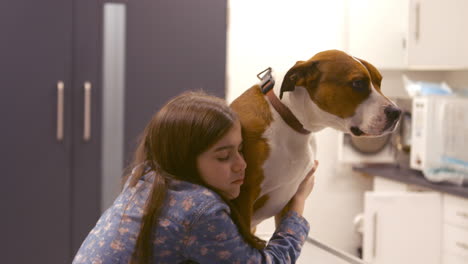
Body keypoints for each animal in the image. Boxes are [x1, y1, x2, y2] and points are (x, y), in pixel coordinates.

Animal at [230, 49, 398, 233]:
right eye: (358, 83)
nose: (397, 112)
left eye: (379, 82)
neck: (289, 118)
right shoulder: (243, 199)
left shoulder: (289, 203)